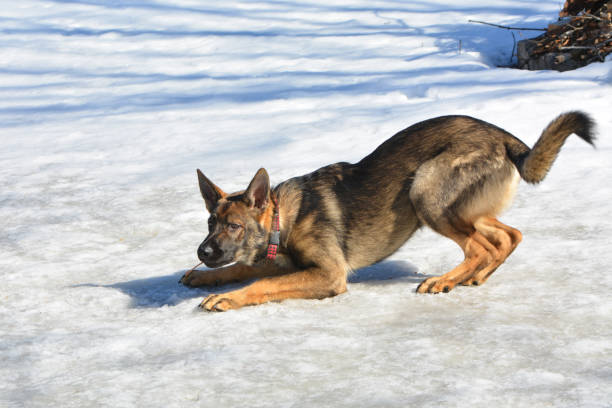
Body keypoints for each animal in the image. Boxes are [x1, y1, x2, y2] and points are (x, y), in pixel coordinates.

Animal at [179, 110, 596, 310]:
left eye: (234, 226)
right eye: (210, 222)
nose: (203, 251)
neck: (285, 219)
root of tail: (504, 136)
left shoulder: (329, 273)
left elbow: (259, 283)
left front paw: (228, 298)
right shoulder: (285, 264)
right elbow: (240, 269)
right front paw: (202, 277)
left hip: (425, 191)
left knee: (480, 247)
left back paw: (444, 280)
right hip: (466, 208)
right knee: (508, 236)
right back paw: (472, 277)